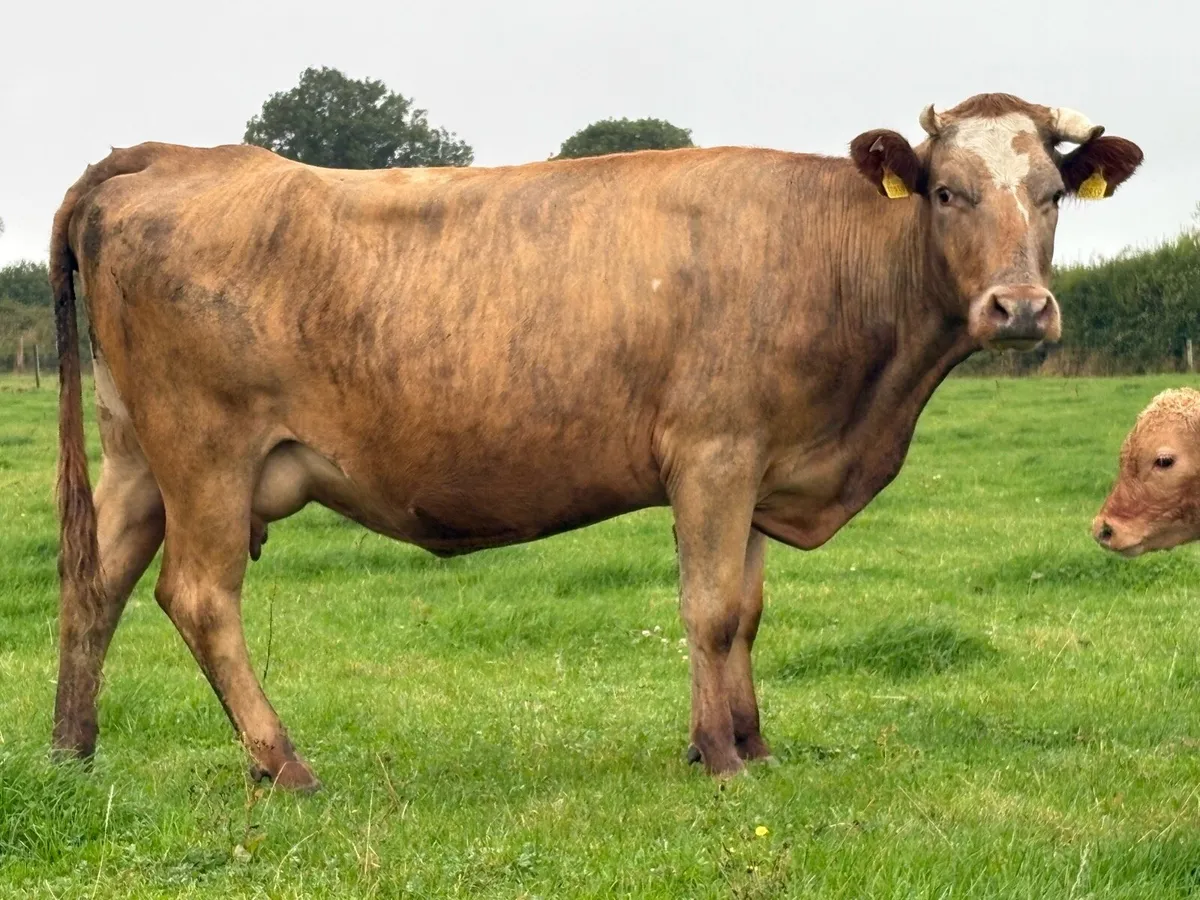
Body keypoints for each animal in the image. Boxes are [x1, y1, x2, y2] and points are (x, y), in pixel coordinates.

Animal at [49, 93, 1143, 788]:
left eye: (1049, 195)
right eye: (949, 192)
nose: (1019, 308)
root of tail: (167, 155)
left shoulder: (761, 468)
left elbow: (747, 612)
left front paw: (750, 744)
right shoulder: (714, 455)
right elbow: (708, 610)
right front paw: (722, 760)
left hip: (137, 457)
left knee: (92, 585)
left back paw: (72, 753)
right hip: (206, 454)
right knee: (199, 597)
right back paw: (284, 764)